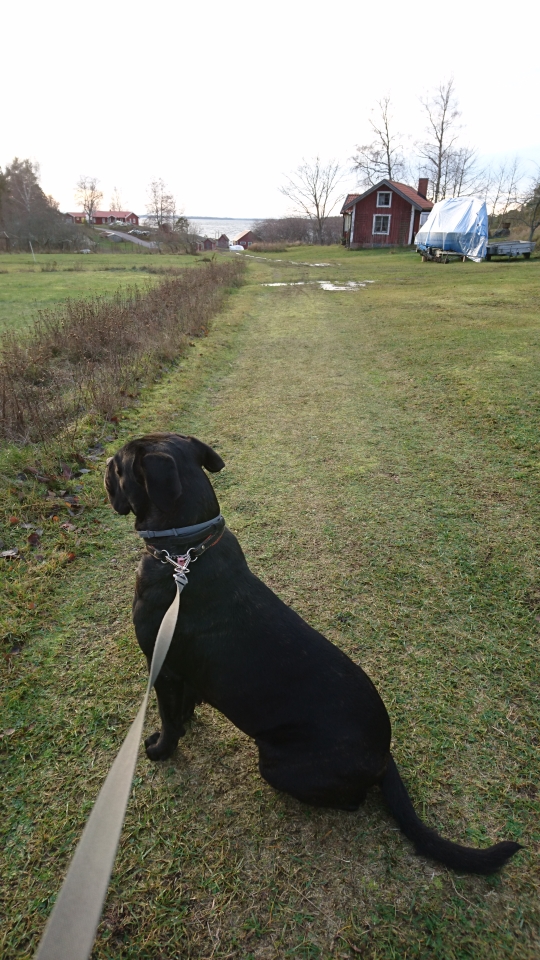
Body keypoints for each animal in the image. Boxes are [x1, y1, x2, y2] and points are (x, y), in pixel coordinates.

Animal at [105, 432, 521, 874]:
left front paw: (160, 750)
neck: (185, 548)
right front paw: (186, 724)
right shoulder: (182, 675)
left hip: (275, 764)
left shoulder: (163, 668)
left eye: (120, 466)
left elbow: (168, 718)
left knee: (353, 802)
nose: (104, 467)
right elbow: (184, 707)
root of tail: (384, 754)